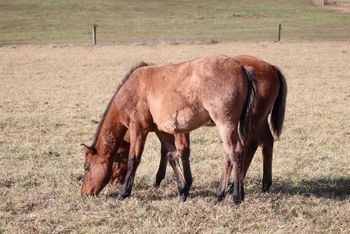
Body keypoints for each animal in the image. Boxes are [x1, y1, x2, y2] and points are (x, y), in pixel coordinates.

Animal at [91, 55, 286, 201]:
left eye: (87, 167)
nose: (87, 192)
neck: (133, 88)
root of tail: (244, 69)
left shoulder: (139, 128)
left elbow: (136, 159)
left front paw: (125, 192)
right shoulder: (165, 130)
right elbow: (173, 154)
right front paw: (183, 187)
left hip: (231, 124)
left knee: (237, 150)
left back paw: (234, 194)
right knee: (251, 147)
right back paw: (238, 189)